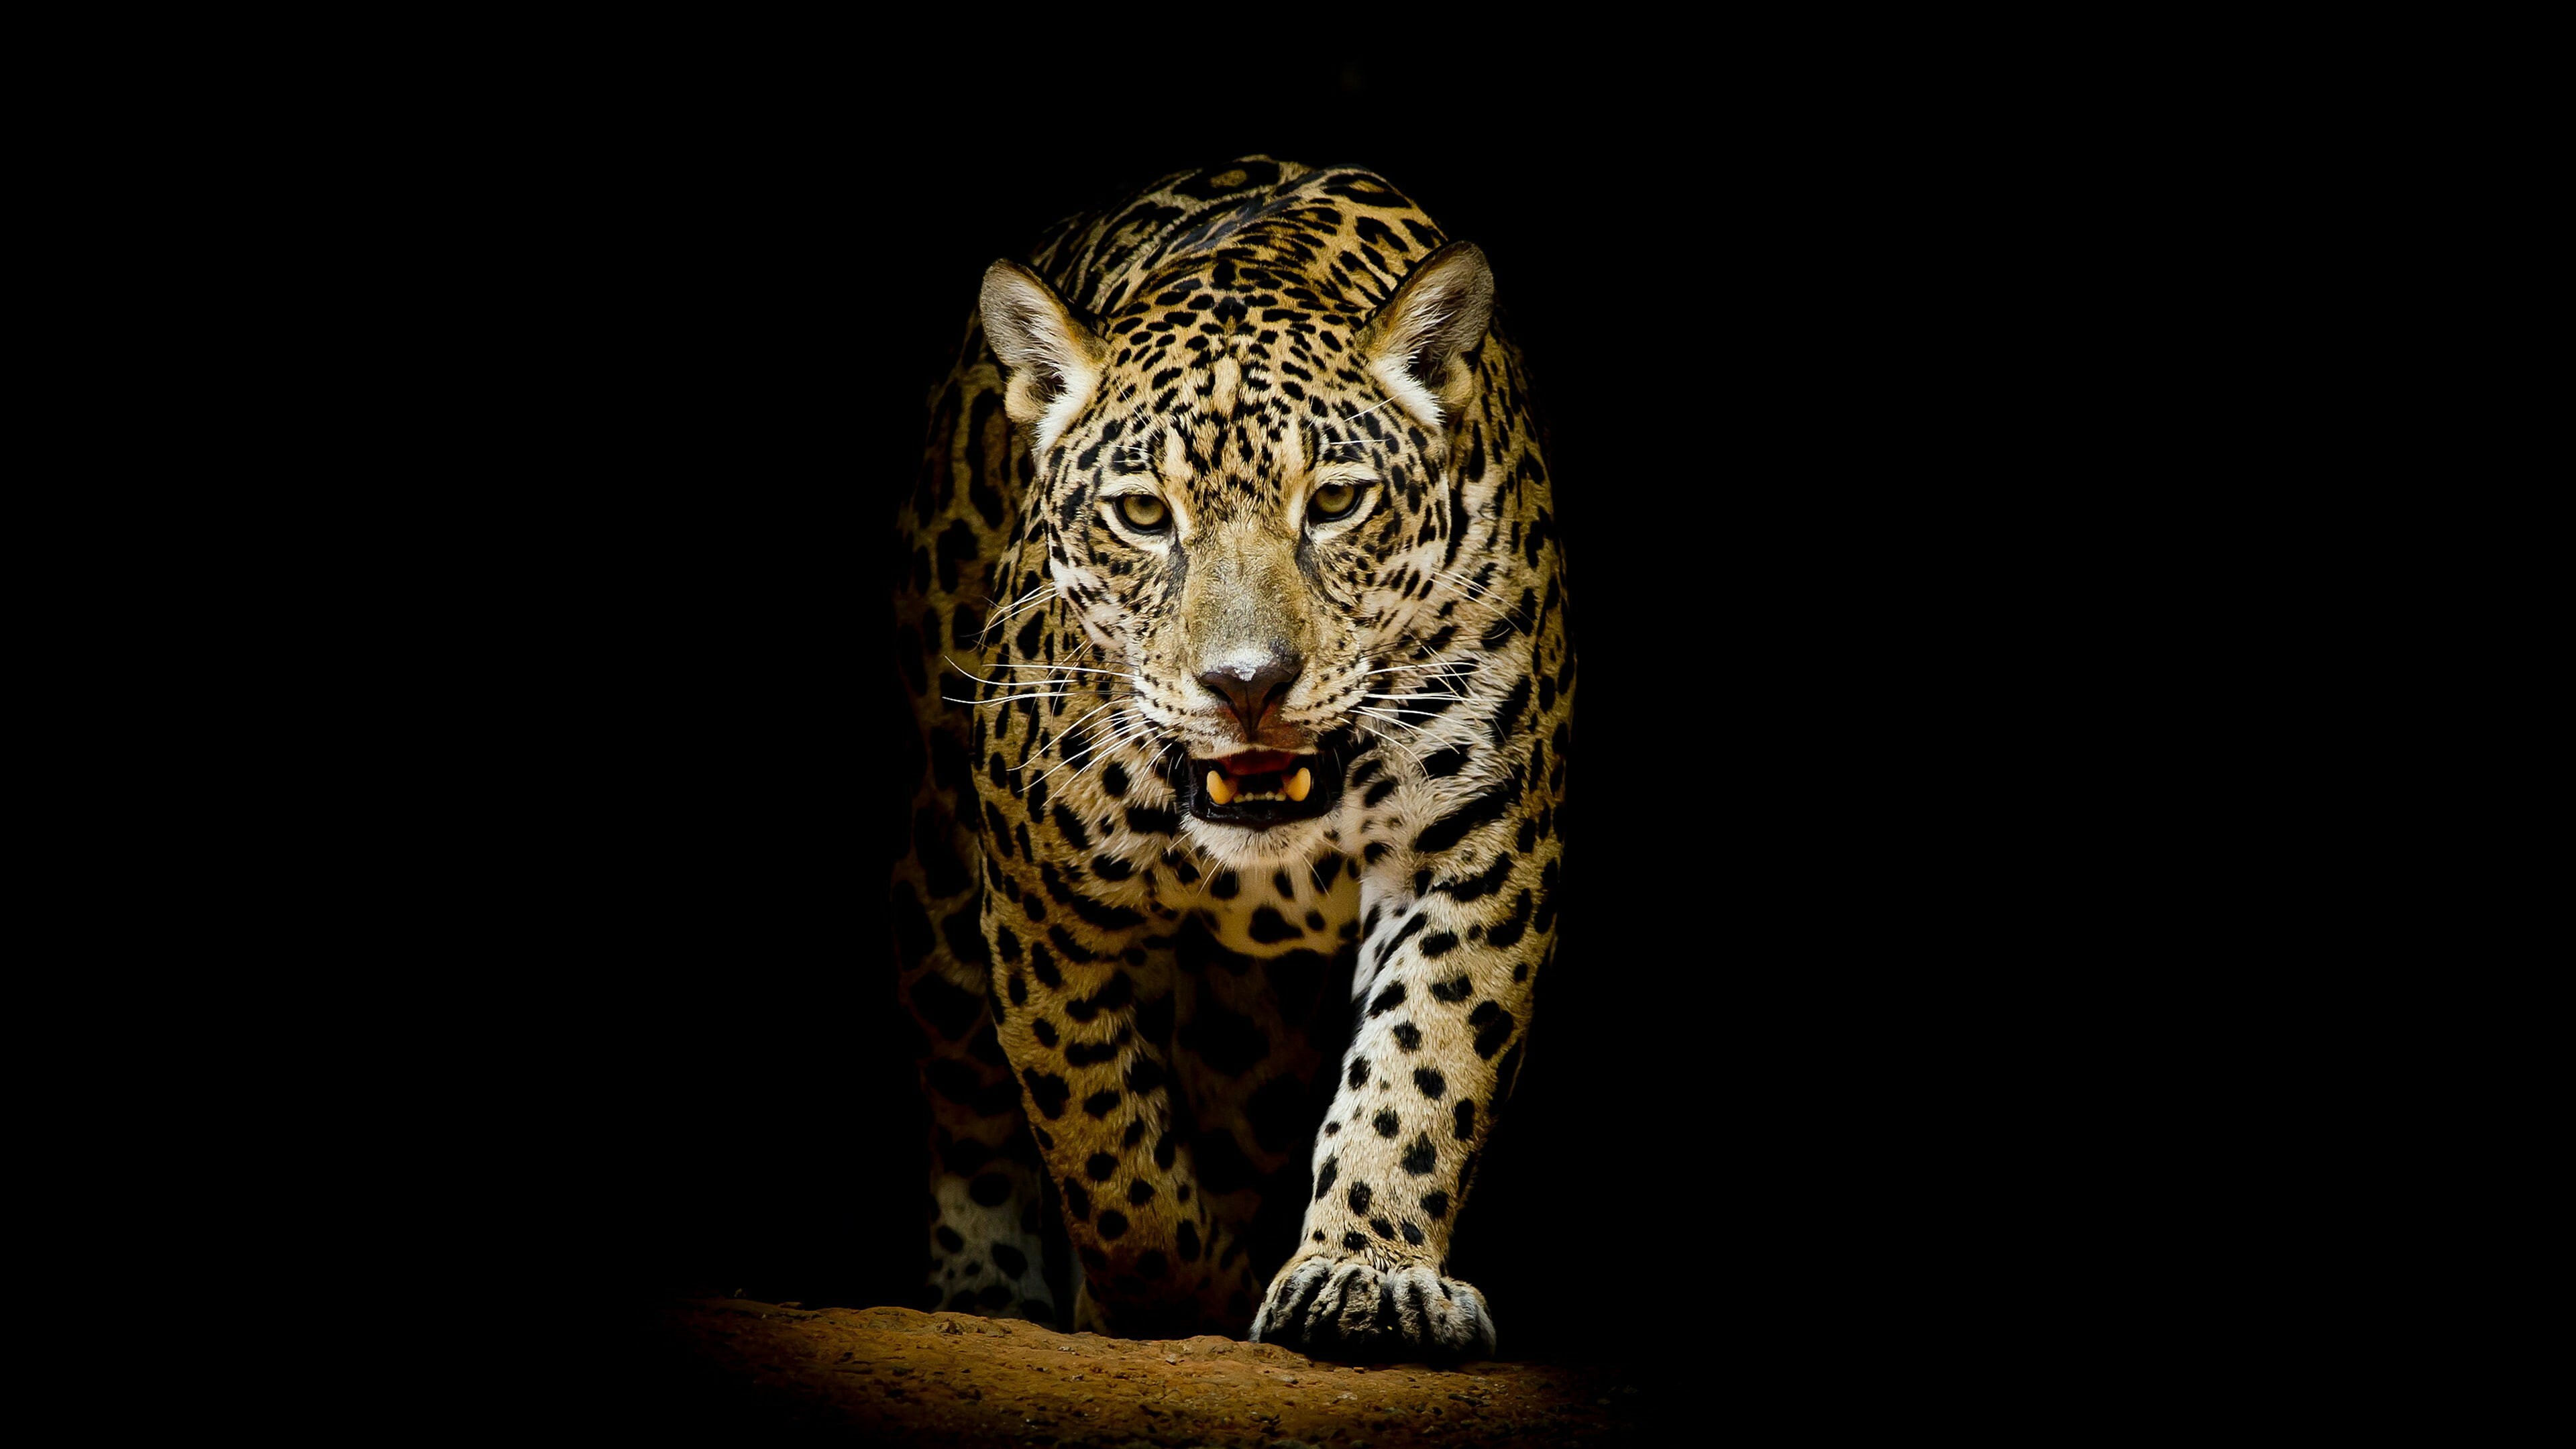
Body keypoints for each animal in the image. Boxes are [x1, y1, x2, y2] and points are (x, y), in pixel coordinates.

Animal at [889, 156, 1572, 1361]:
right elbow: (1102, 1140)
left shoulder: (1479, 845)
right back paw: (984, 1288)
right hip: (936, 887)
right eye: (1141, 514)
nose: (1247, 684)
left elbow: (1426, 1061)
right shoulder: (1039, 900)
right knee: (968, 1100)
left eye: (1336, 502)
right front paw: (1169, 1300)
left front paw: (1365, 1276)